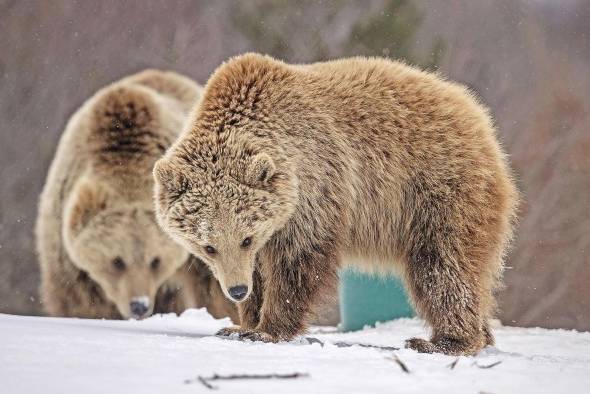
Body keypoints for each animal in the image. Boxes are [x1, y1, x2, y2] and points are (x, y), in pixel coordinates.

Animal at [35, 68, 236, 320]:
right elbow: (78, 300)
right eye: (117, 261)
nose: (139, 305)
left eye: (155, 261)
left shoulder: (198, 242)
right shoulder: (65, 251)